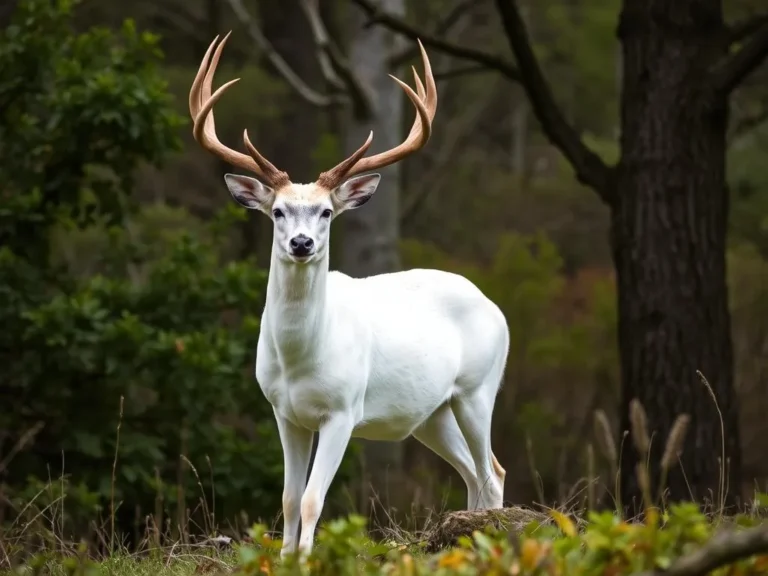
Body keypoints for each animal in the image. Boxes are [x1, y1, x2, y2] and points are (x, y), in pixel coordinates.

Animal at [188, 32, 510, 560]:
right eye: (277, 211)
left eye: (325, 212)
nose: (302, 244)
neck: (301, 357)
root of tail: (491, 303)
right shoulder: (284, 412)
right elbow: (288, 498)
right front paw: (285, 559)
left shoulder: (343, 410)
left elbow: (313, 500)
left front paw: (306, 558)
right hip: (430, 412)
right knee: (473, 474)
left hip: (478, 389)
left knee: (494, 472)